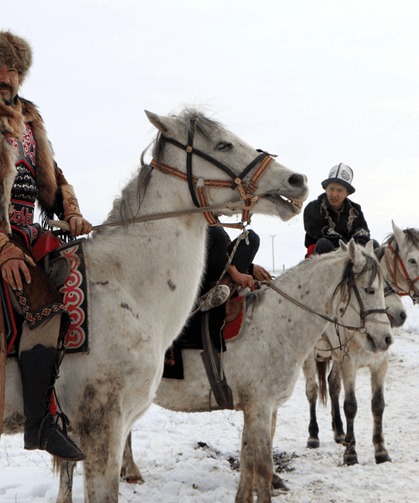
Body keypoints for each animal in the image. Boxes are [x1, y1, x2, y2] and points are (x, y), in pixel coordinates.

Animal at [58, 240, 394, 503]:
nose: (386, 339)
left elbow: (248, 460)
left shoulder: (256, 408)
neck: (276, 324)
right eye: (369, 289)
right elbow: (262, 466)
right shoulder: (260, 407)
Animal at [306, 222, 419, 466]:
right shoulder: (350, 364)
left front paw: (381, 450)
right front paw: (351, 453)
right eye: (413, 260)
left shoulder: (379, 364)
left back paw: (339, 432)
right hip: (310, 356)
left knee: (332, 385)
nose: (399, 316)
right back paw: (313, 435)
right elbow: (351, 405)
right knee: (312, 390)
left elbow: (378, 404)